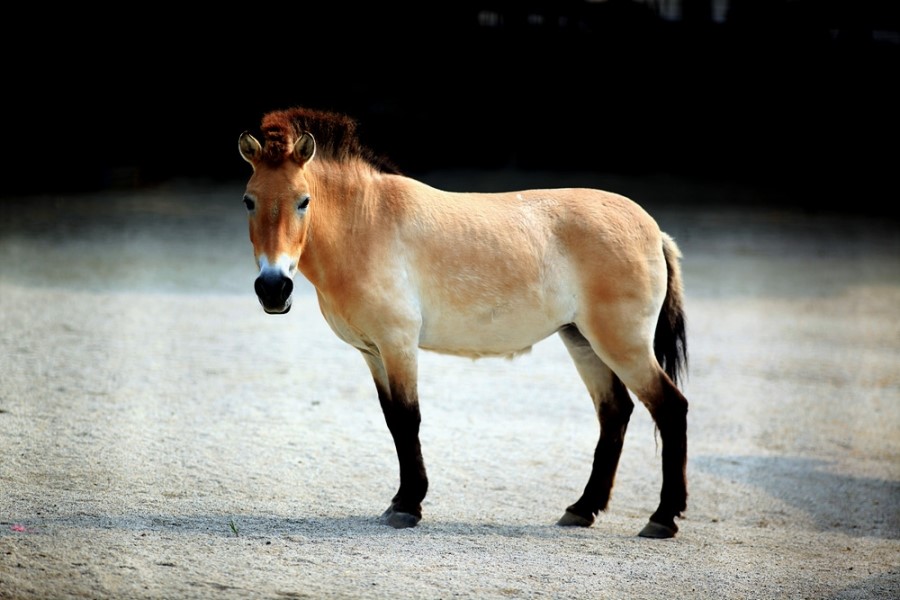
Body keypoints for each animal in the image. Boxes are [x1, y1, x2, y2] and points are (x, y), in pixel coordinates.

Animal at [238, 107, 689, 538]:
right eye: (249, 200)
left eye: (303, 200)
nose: (273, 288)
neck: (364, 224)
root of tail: (654, 232)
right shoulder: (373, 352)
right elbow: (394, 421)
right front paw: (400, 500)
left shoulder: (398, 344)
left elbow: (408, 418)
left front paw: (408, 507)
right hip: (582, 342)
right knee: (615, 413)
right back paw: (582, 510)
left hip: (622, 345)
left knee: (670, 408)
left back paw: (662, 519)